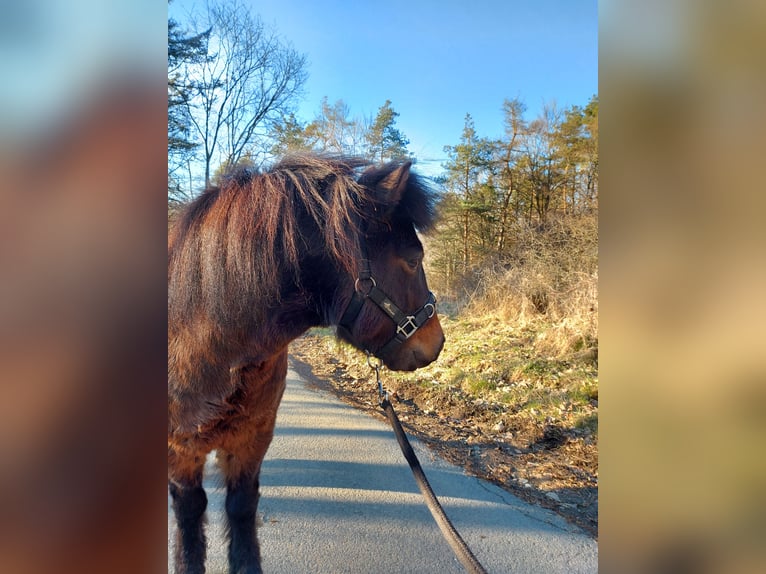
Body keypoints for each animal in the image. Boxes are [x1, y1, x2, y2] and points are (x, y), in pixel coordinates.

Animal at [168, 155, 444, 572]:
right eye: (413, 260)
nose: (437, 342)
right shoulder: (181, 451)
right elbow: (189, 517)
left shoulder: (253, 438)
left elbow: (242, 507)